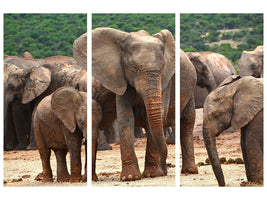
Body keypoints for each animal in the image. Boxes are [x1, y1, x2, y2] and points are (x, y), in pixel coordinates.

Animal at [92, 27, 176, 181]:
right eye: (133, 67)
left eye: (163, 67)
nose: (166, 166)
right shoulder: (120, 78)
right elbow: (125, 119)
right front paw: (130, 177)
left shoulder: (166, 82)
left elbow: (156, 117)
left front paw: (152, 175)